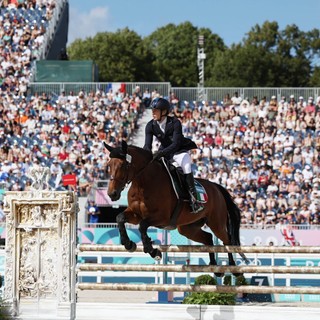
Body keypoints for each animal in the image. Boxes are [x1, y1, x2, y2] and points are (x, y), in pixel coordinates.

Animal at [104, 140, 249, 276]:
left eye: (123, 165)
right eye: (109, 165)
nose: (112, 194)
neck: (143, 184)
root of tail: (216, 187)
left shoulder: (162, 218)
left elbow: (143, 225)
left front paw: (153, 251)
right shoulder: (136, 214)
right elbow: (120, 218)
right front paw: (129, 244)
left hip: (216, 223)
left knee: (227, 240)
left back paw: (234, 269)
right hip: (188, 228)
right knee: (208, 238)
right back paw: (214, 267)